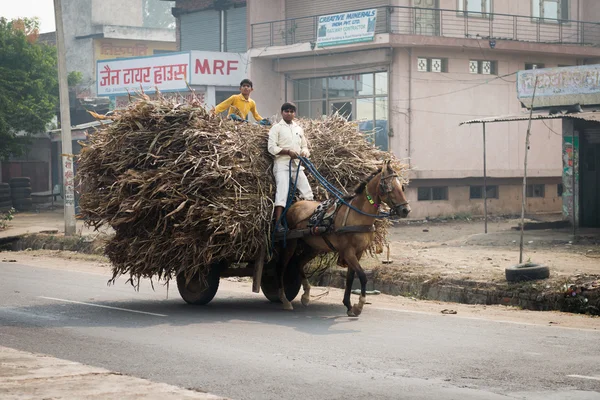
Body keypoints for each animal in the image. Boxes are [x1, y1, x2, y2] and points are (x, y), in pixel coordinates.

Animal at [276, 161, 408, 318]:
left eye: (402, 187)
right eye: (388, 186)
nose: (406, 210)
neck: (357, 215)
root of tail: (294, 205)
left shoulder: (358, 252)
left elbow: (350, 277)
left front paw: (349, 306)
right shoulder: (348, 252)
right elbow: (362, 276)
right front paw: (359, 305)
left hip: (312, 247)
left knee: (298, 263)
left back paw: (306, 295)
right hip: (291, 242)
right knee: (282, 266)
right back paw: (284, 299)